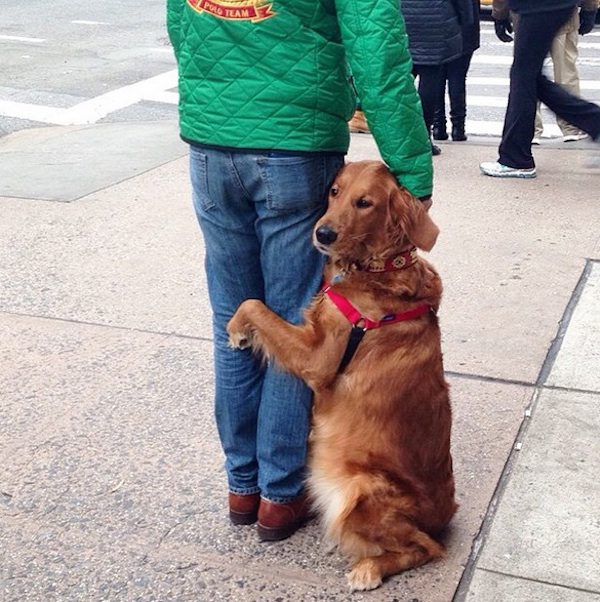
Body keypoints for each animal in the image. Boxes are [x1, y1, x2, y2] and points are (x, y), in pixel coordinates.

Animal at [227, 161, 458, 592]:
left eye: (365, 203)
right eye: (334, 191)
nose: (323, 233)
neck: (378, 268)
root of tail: (444, 517)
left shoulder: (318, 360)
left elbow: (253, 304)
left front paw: (236, 328)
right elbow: (253, 303)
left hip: (360, 492)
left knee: (428, 548)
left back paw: (370, 569)